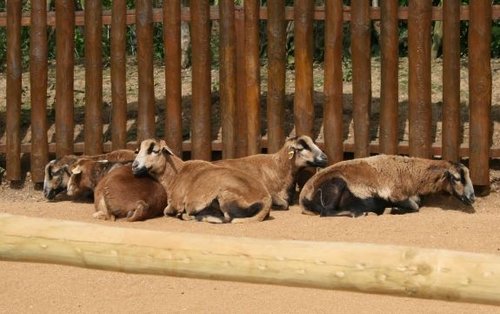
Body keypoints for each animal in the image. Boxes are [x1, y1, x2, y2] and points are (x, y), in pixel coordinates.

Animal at [131, 138, 272, 223]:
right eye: (138, 151)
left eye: (154, 151)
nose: (134, 166)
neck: (176, 174)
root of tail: (266, 201)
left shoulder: (176, 203)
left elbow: (167, 211)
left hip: (225, 196)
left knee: (227, 218)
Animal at [298, 155, 474, 218]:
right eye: (457, 178)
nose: (472, 197)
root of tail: (303, 199)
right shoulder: (395, 194)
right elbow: (415, 206)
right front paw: (392, 210)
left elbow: (416, 204)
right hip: (336, 183)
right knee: (326, 212)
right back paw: (358, 213)